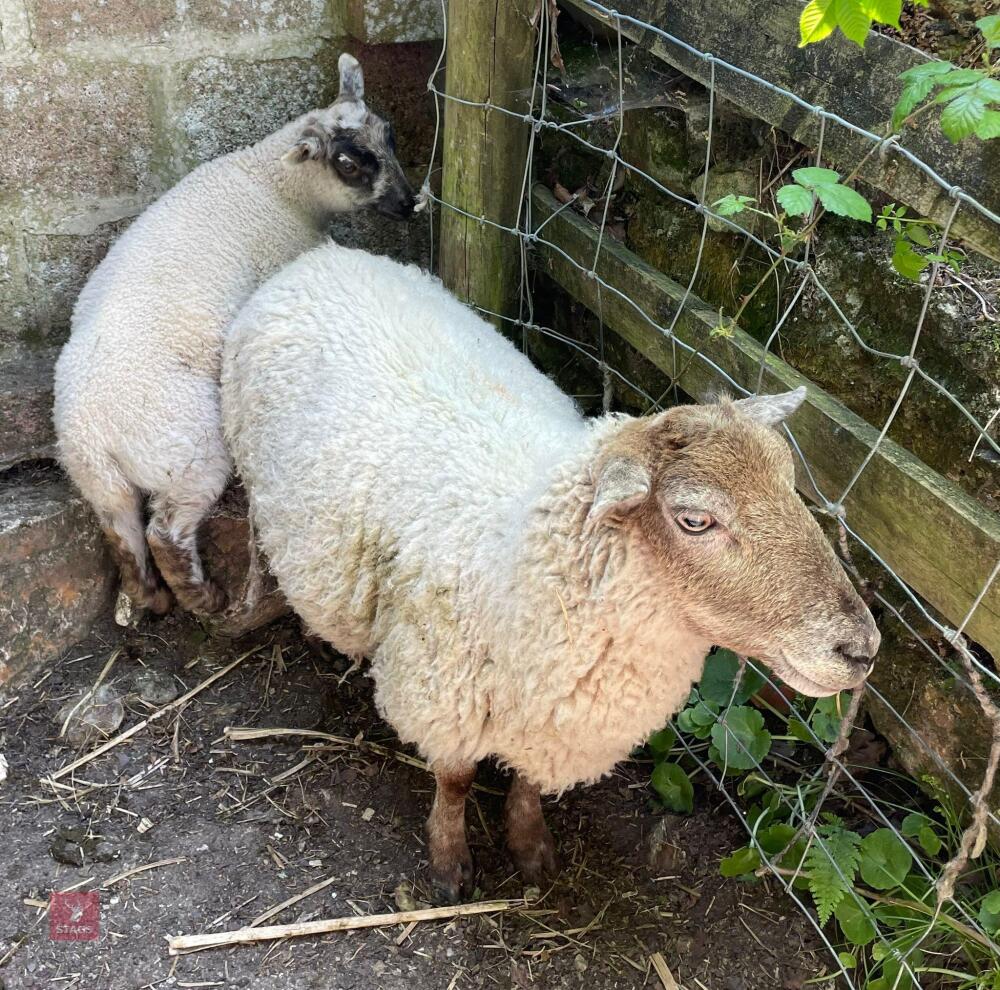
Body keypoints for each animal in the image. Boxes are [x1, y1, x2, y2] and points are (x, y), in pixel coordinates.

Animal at [53, 54, 415, 617]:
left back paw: (151, 597)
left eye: (390, 136)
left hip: (100, 483)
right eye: (349, 164)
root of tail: (94, 436)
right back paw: (205, 598)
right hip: (188, 455)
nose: (410, 204)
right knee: (165, 532)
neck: (272, 183)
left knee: (122, 532)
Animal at [221, 240, 881, 901]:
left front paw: (531, 847)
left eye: (790, 480)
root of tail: (326, 253)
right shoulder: (438, 694)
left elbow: (529, 784)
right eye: (695, 519)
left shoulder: (553, 723)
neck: (520, 558)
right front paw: (450, 861)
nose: (862, 648)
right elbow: (455, 780)